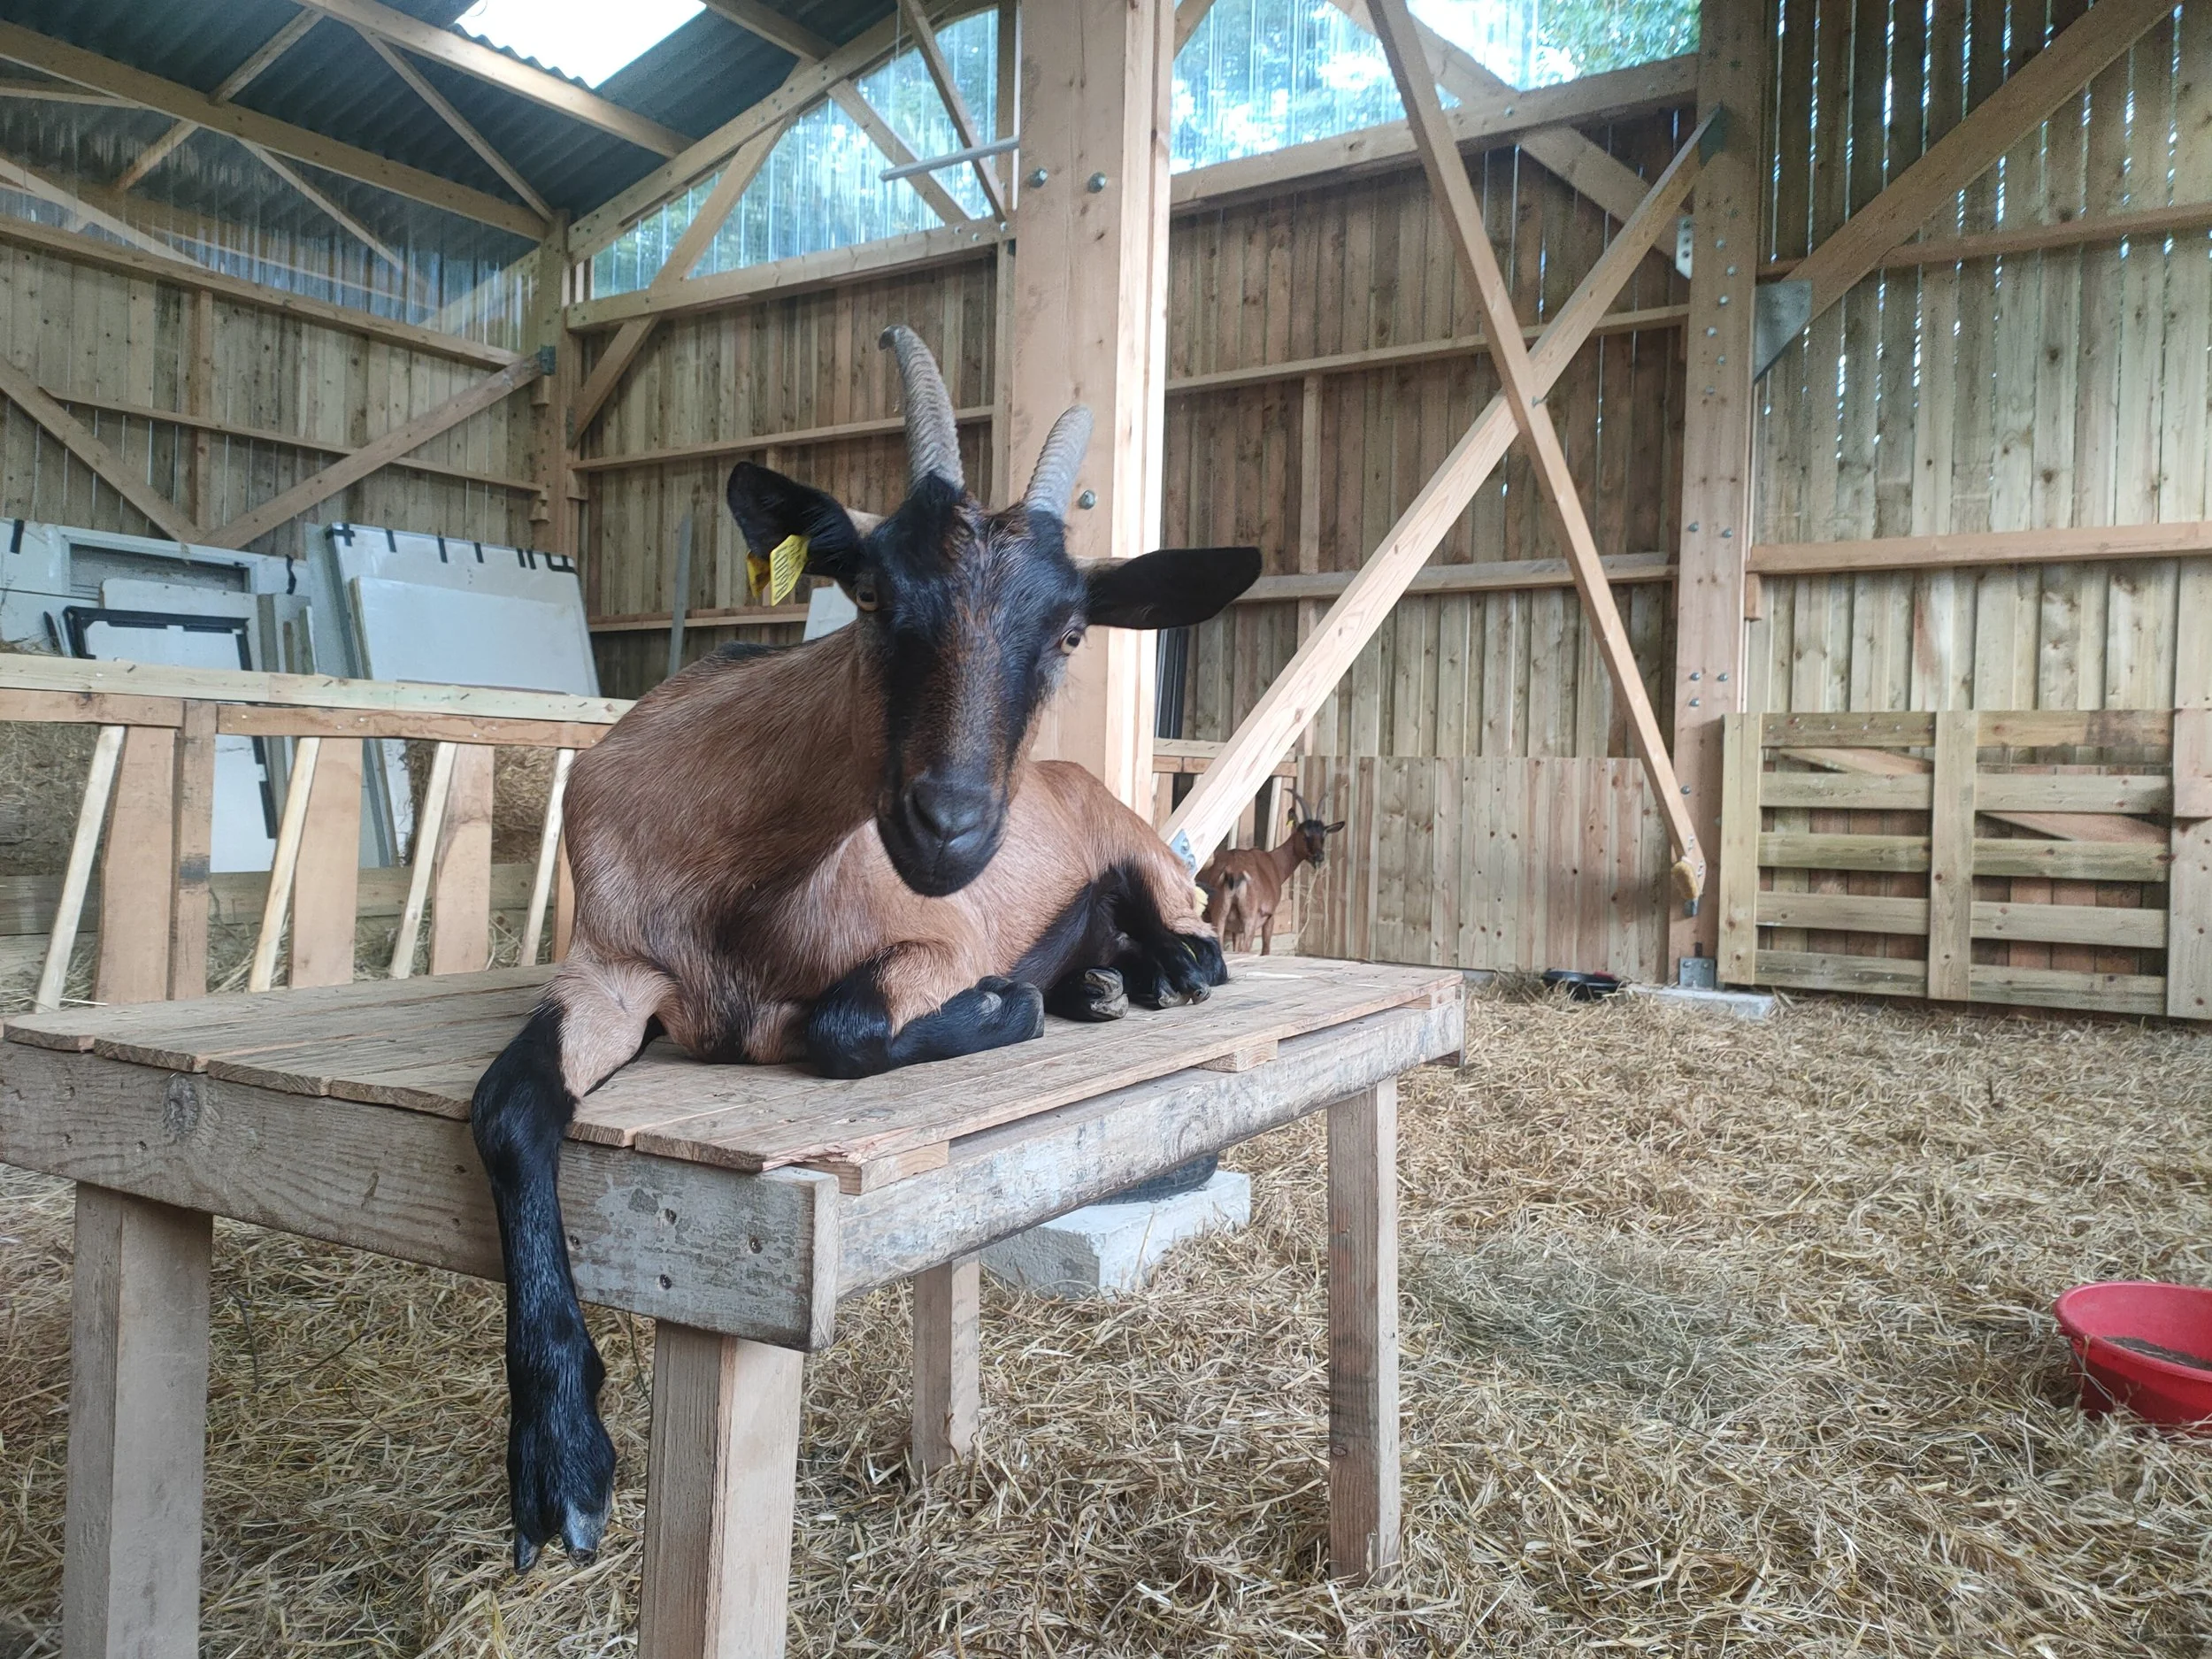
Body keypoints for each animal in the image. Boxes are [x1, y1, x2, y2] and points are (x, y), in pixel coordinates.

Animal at [469, 326, 1261, 1569]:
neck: (730, 877)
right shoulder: (605, 969)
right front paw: (558, 1456)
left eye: (1069, 630)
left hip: (1135, 849)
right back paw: (1097, 985)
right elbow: (507, 1108)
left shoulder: (936, 938)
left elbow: (843, 1027)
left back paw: (1155, 977)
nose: (949, 825)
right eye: (876, 591)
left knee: (1185, 930)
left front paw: (1001, 1007)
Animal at [1197, 789, 1344, 954]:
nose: (1319, 856)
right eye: (1304, 835)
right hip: (1249, 919)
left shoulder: (1235, 929)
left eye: (1323, 836)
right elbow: (1266, 949)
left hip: (1220, 915)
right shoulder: (1269, 916)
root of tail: (1234, 872)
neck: (1274, 862)